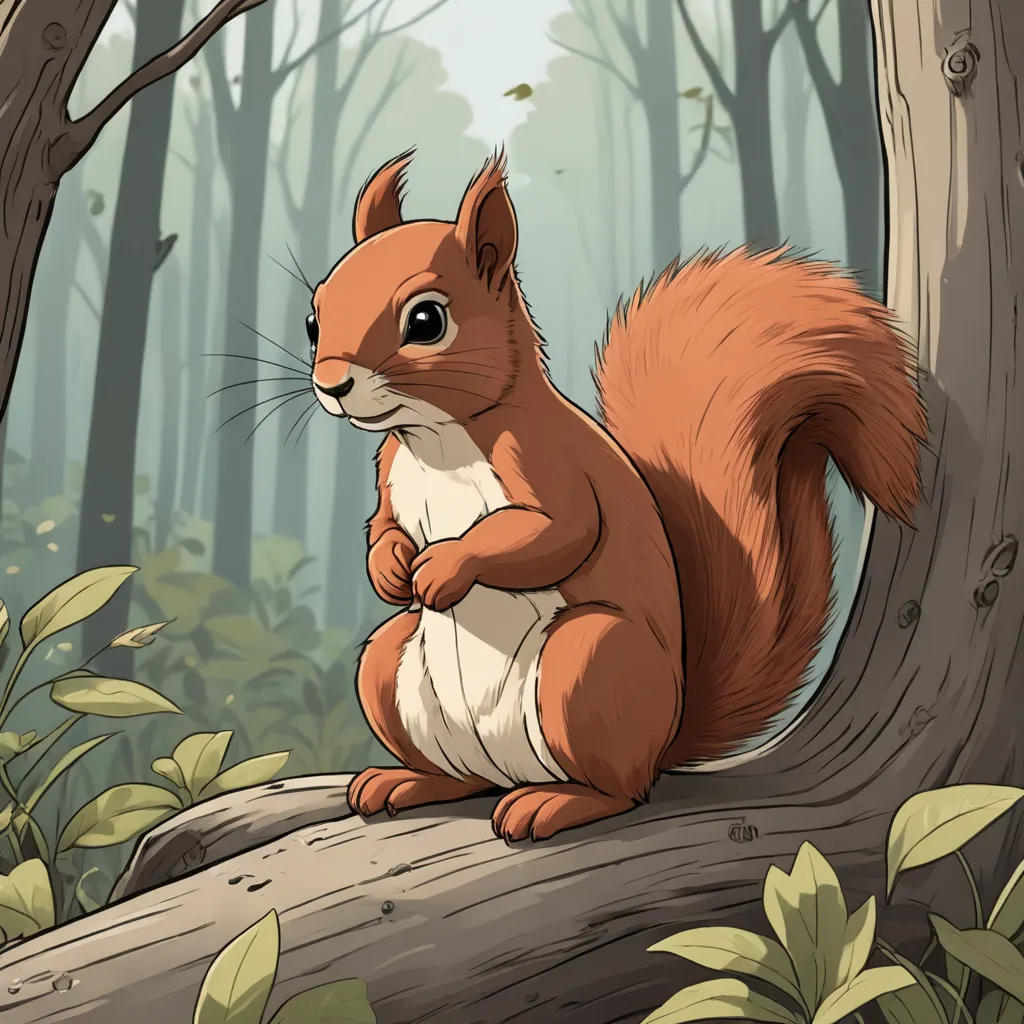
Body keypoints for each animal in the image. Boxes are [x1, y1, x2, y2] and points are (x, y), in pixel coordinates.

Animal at [307, 149, 927, 843]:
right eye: (314, 316)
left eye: (426, 321)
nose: (332, 384)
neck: (436, 436)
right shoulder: (390, 470)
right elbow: (383, 524)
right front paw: (389, 568)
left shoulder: (549, 463)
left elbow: (557, 533)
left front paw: (445, 567)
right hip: (388, 668)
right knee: (461, 772)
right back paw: (408, 782)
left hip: (589, 667)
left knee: (621, 789)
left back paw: (554, 804)